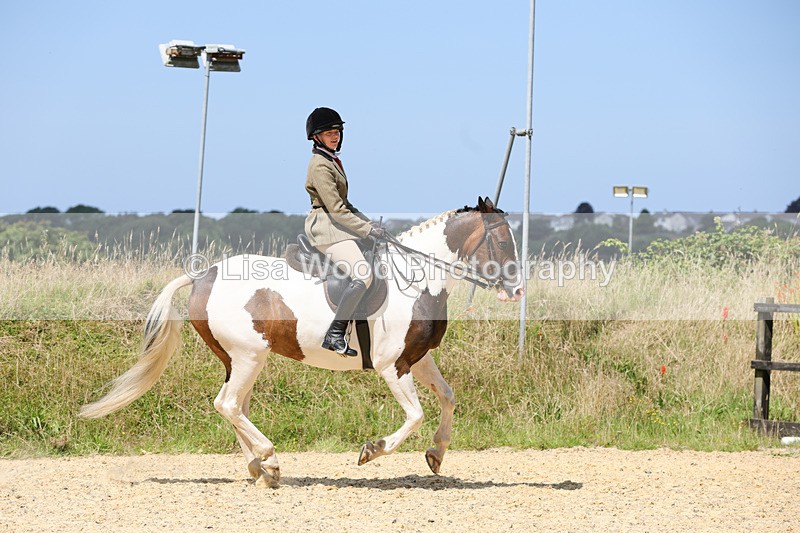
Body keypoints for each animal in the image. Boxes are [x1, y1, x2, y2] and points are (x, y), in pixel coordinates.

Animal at [79, 196, 524, 488]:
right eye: (504, 242)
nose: (517, 291)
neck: (416, 279)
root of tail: (204, 274)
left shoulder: (417, 359)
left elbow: (448, 397)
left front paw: (437, 454)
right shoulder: (392, 366)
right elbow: (414, 416)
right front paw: (372, 450)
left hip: (241, 360)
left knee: (233, 406)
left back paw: (261, 470)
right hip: (247, 356)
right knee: (228, 405)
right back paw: (269, 458)